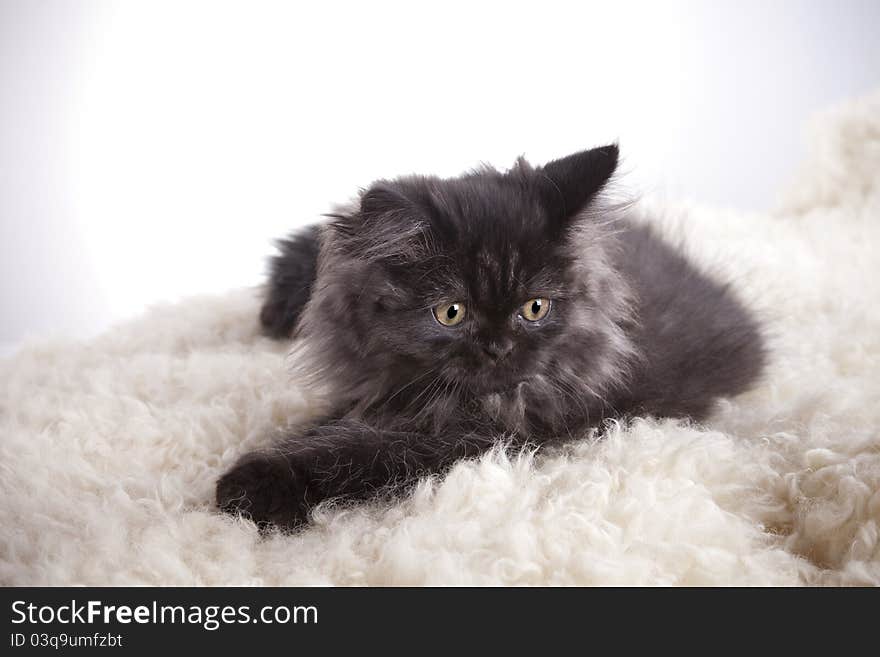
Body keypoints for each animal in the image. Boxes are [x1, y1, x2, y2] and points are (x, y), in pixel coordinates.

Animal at [215, 145, 764, 528]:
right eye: (451, 312)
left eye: (535, 307)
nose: (499, 348)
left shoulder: (481, 436)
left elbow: (362, 451)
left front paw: (253, 484)